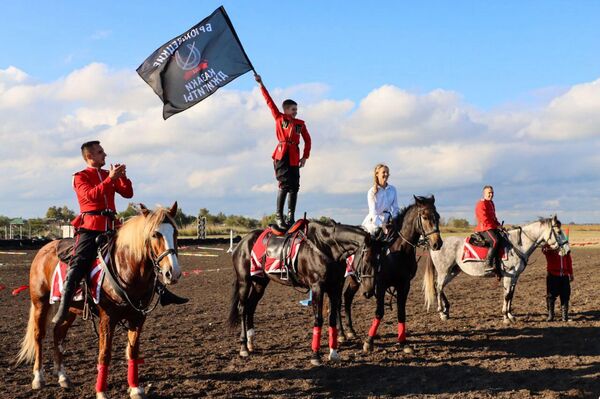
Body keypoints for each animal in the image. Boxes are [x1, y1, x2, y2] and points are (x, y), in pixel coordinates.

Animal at [15, 203, 180, 399]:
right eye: (155, 234)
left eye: (176, 232)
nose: (173, 272)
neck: (126, 268)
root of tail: (44, 249)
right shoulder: (107, 318)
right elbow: (105, 354)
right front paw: (101, 391)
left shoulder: (138, 318)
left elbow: (133, 352)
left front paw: (135, 388)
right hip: (40, 303)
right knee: (39, 335)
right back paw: (38, 378)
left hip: (69, 309)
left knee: (58, 333)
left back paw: (62, 376)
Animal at [230, 220, 376, 368]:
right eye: (367, 260)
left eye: (379, 260)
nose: (369, 291)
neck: (325, 246)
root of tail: (243, 241)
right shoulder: (317, 288)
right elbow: (318, 319)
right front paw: (315, 356)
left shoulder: (334, 288)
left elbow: (332, 319)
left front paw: (334, 353)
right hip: (244, 281)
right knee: (243, 308)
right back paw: (244, 347)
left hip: (260, 282)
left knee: (251, 307)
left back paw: (250, 342)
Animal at [340, 196, 442, 354]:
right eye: (424, 217)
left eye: (437, 216)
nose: (438, 243)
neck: (397, 252)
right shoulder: (381, 285)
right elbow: (379, 312)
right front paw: (369, 342)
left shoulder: (404, 285)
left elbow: (401, 312)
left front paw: (404, 343)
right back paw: (341, 334)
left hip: (354, 280)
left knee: (347, 297)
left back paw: (350, 330)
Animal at [422, 216, 568, 324]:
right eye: (559, 232)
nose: (567, 250)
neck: (517, 245)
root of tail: (436, 244)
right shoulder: (509, 276)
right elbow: (507, 295)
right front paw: (506, 317)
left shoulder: (515, 276)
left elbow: (510, 295)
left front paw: (510, 315)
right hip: (444, 271)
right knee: (439, 287)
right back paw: (442, 312)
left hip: (453, 271)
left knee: (440, 287)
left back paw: (446, 310)